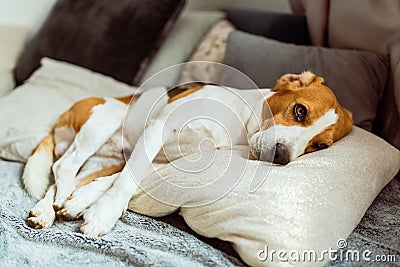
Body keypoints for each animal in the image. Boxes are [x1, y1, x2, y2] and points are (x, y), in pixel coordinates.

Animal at [23, 70, 352, 237]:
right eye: (300, 111)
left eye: (319, 147)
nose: (282, 155)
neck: (238, 124)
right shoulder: (157, 129)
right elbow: (126, 182)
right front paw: (105, 214)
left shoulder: (167, 160)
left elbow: (120, 180)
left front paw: (85, 202)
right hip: (107, 117)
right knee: (64, 167)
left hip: (105, 159)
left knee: (62, 176)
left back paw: (47, 210)